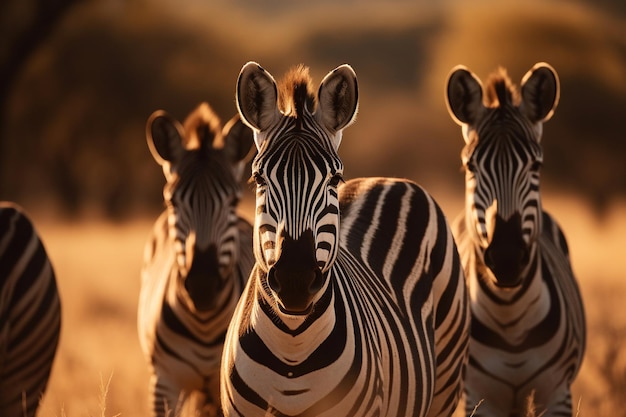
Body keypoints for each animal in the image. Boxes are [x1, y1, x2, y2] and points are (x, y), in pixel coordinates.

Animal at [139, 101, 256, 416]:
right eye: (172, 202)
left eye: (233, 202)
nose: (203, 286)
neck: (205, 323)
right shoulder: (164, 383)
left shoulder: (229, 388)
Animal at [219, 61, 468, 416]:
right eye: (258, 178)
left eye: (334, 179)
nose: (295, 280)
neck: (291, 346)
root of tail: (386, 179)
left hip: (446, 378)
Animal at [444, 62, 584, 416]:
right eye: (471, 166)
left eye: (536, 165)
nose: (506, 259)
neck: (511, 323)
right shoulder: (479, 397)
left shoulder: (556, 393)